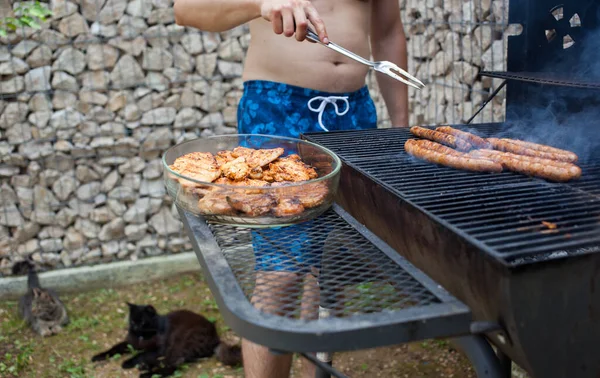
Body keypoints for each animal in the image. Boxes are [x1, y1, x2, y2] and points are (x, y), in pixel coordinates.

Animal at [91, 302, 241, 378]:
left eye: (143, 322)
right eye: (133, 321)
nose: (135, 328)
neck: (142, 337)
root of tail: (216, 338)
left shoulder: (158, 349)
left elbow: (141, 354)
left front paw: (127, 363)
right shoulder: (130, 343)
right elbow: (114, 348)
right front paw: (98, 356)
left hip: (180, 343)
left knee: (173, 367)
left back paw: (146, 374)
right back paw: (145, 368)